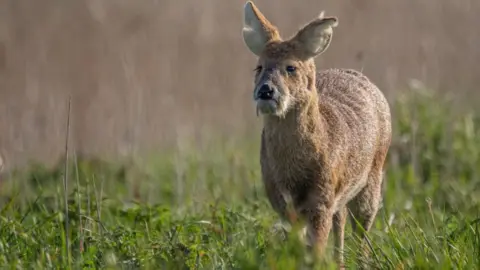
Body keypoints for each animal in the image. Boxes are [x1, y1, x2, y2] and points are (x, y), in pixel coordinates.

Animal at [242, 1, 392, 268]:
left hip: (372, 179)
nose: (266, 90)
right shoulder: (282, 203)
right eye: (259, 67)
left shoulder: (320, 200)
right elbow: (299, 247)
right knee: (341, 222)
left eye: (291, 67)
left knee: (362, 232)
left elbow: (316, 250)